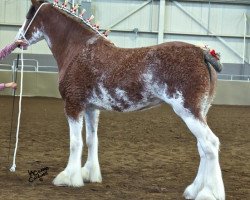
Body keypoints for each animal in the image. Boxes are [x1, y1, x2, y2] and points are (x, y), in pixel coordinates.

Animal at [17, 0, 225, 199]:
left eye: (28, 16)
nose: (19, 40)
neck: (78, 50)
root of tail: (202, 53)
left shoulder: (73, 106)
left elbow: (75, 143)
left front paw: (69, 178)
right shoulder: (91, 108)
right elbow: (92, 140)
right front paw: (89, 174)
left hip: (188, 111)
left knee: (210, 144)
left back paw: (208, 193)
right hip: (201, 112)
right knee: (202, 148)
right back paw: (194, 190)